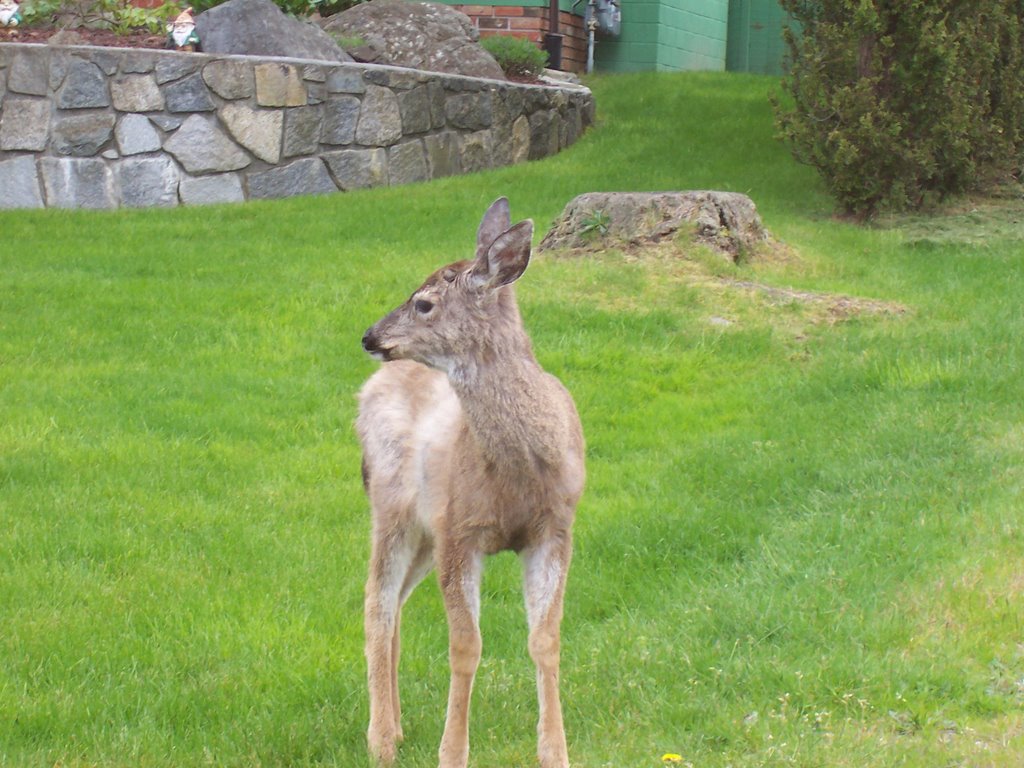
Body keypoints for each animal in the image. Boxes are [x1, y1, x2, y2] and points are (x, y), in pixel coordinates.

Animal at [358, 199, 585, 768]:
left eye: (423, 303)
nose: (369, 336)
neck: (521, 470)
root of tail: (367, 388)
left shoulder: (555, 530)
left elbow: (545, 639)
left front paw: (555, 751)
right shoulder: (461, 531)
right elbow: (466, 647)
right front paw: (453, 752)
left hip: (424, 532)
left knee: (396, 605)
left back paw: (397, 727)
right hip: (391, 507)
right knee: (376, 603)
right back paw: (380, 740)